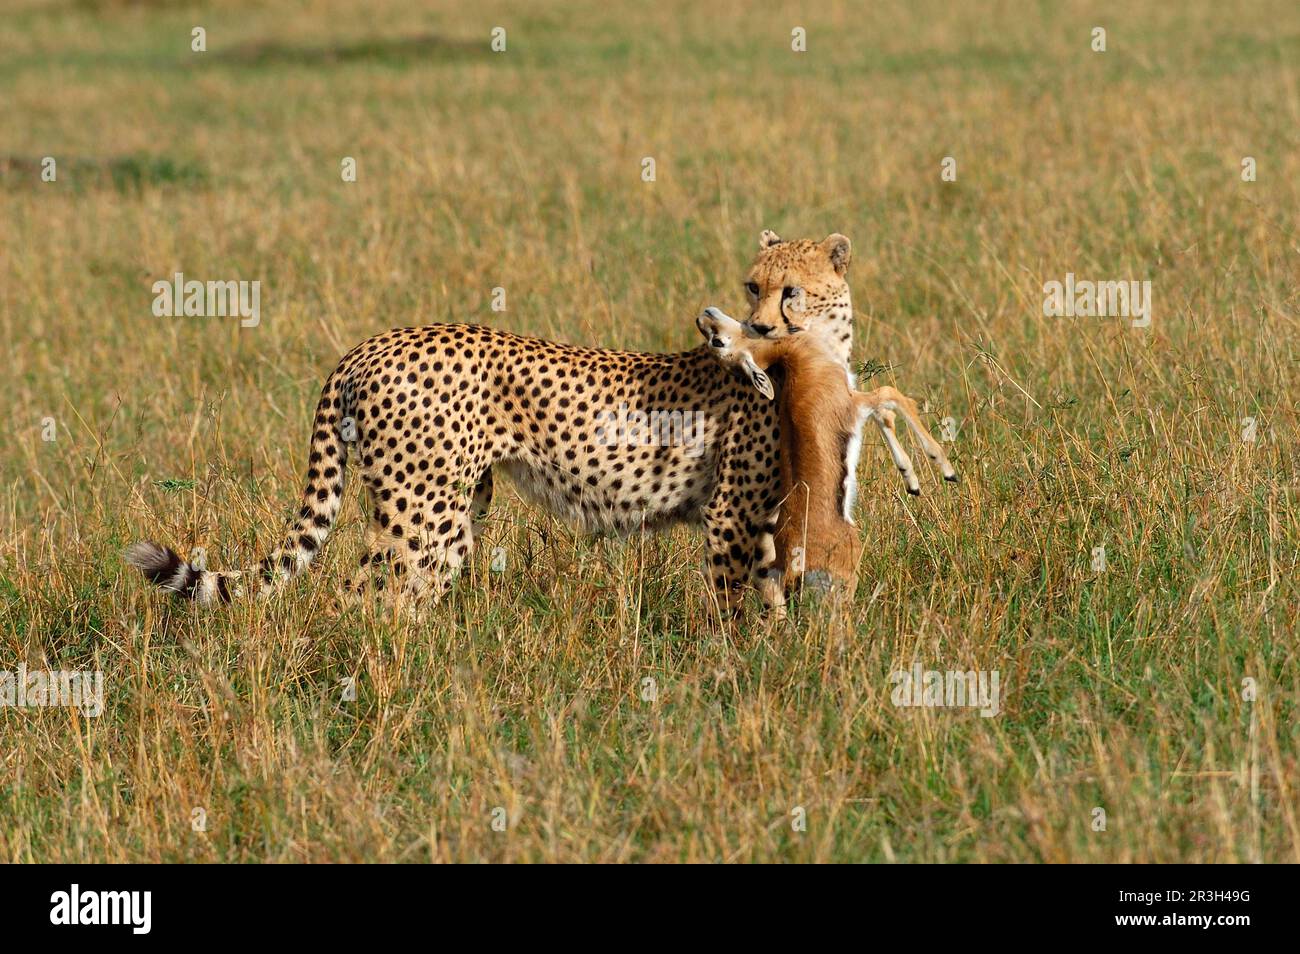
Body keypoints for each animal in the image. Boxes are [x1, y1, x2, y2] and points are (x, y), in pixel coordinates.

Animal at [126, 233, 857, 621]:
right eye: (752, 285)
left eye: (790, 290)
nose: (754, 327)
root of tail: (371, 343)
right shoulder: (734, 510)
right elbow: (738, 601)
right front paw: (743, 667)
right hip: (422, 506)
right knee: (364, 596)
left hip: (453, 504)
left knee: (410, 593)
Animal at [696, 306, 961, 595]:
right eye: (716, 342)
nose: (704, 316)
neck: (798, 359)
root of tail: (791, 566)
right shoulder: (856, 403)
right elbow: (891, 396)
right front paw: (947, 470)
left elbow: (885, 415)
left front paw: (911, 480)